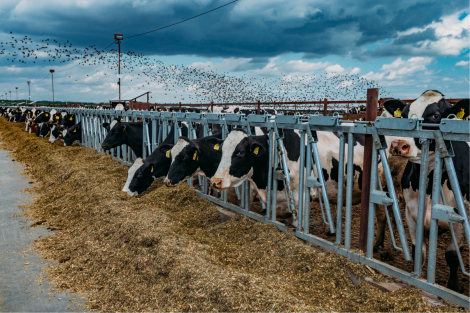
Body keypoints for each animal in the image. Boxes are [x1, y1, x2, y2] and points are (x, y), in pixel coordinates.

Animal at [382, 89, 470, 290]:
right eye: (404, 115)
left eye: (436, 116)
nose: (398, 145)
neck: (430, 185)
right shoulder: (411, 213)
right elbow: (418, 251)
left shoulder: (462, 218)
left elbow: (453, 255)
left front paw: (453, 286)